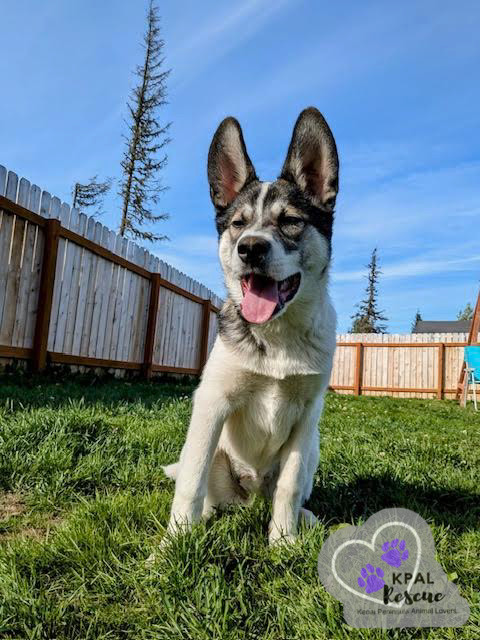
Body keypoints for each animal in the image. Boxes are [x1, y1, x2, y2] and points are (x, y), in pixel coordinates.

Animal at [163, 107, 340, 544]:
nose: (251, 249)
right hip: (212, 452)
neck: (277, 336)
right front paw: (169, 546)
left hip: (313, 448)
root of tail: (249, 496)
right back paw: (201, 519)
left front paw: (283, 542)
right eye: (238, 224)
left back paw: (304, 519)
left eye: (290, 221)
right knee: (203, 488)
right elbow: (189, 483)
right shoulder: (212, 404)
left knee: (287, 489)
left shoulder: (306, 417)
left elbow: (289, 486)